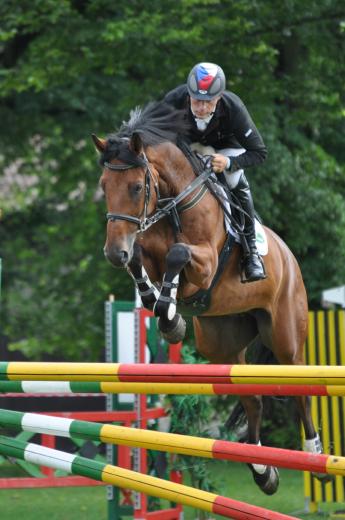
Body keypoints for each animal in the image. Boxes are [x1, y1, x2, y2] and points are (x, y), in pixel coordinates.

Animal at [92, 100, 322, 496]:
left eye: (136, 187)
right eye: (105, 185)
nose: (112, 253)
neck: (172, 202)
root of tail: (290, 257)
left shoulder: (205, 261)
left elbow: (178, 254)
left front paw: (169, 314)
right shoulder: (144, 249)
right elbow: (141, 261)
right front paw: (166, 313)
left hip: (286, 338)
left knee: (300, 389)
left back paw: (314, 455)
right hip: (221, 344)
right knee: (252, 398)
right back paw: (263, 471)